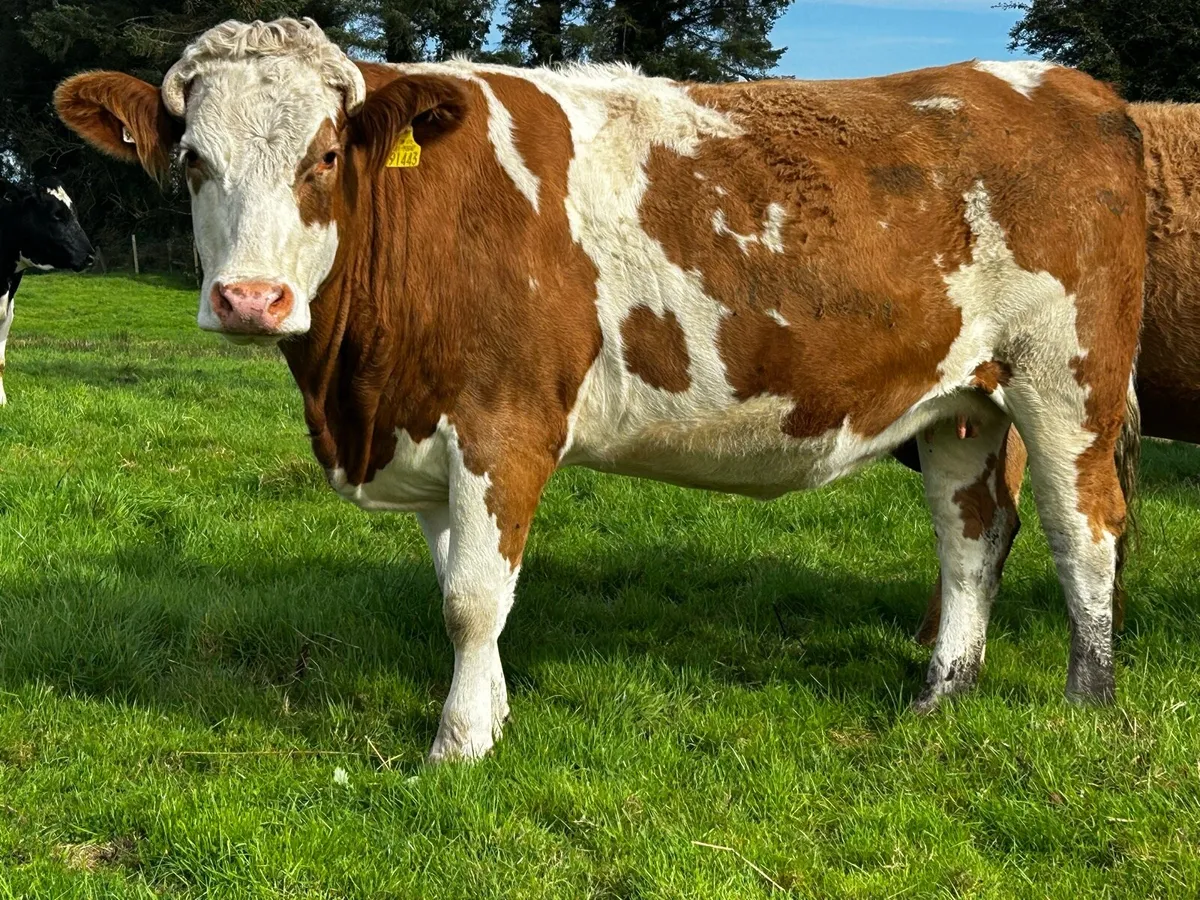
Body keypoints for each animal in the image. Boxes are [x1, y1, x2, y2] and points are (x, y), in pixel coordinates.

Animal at [55, 18, 1146, 761]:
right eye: (192, 161)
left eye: (324, 157)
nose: (250, 298)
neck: (356, 399)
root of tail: (1076, 91)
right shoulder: (432, 434)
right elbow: (463, 586)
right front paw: (491, 715)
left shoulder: (502, 426)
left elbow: (472, 598)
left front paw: (456, 747)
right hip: (962, 404)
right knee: (972, 538)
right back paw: (940, 694)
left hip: (1066, 382)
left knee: (1083, 528)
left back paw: (1088, 701)